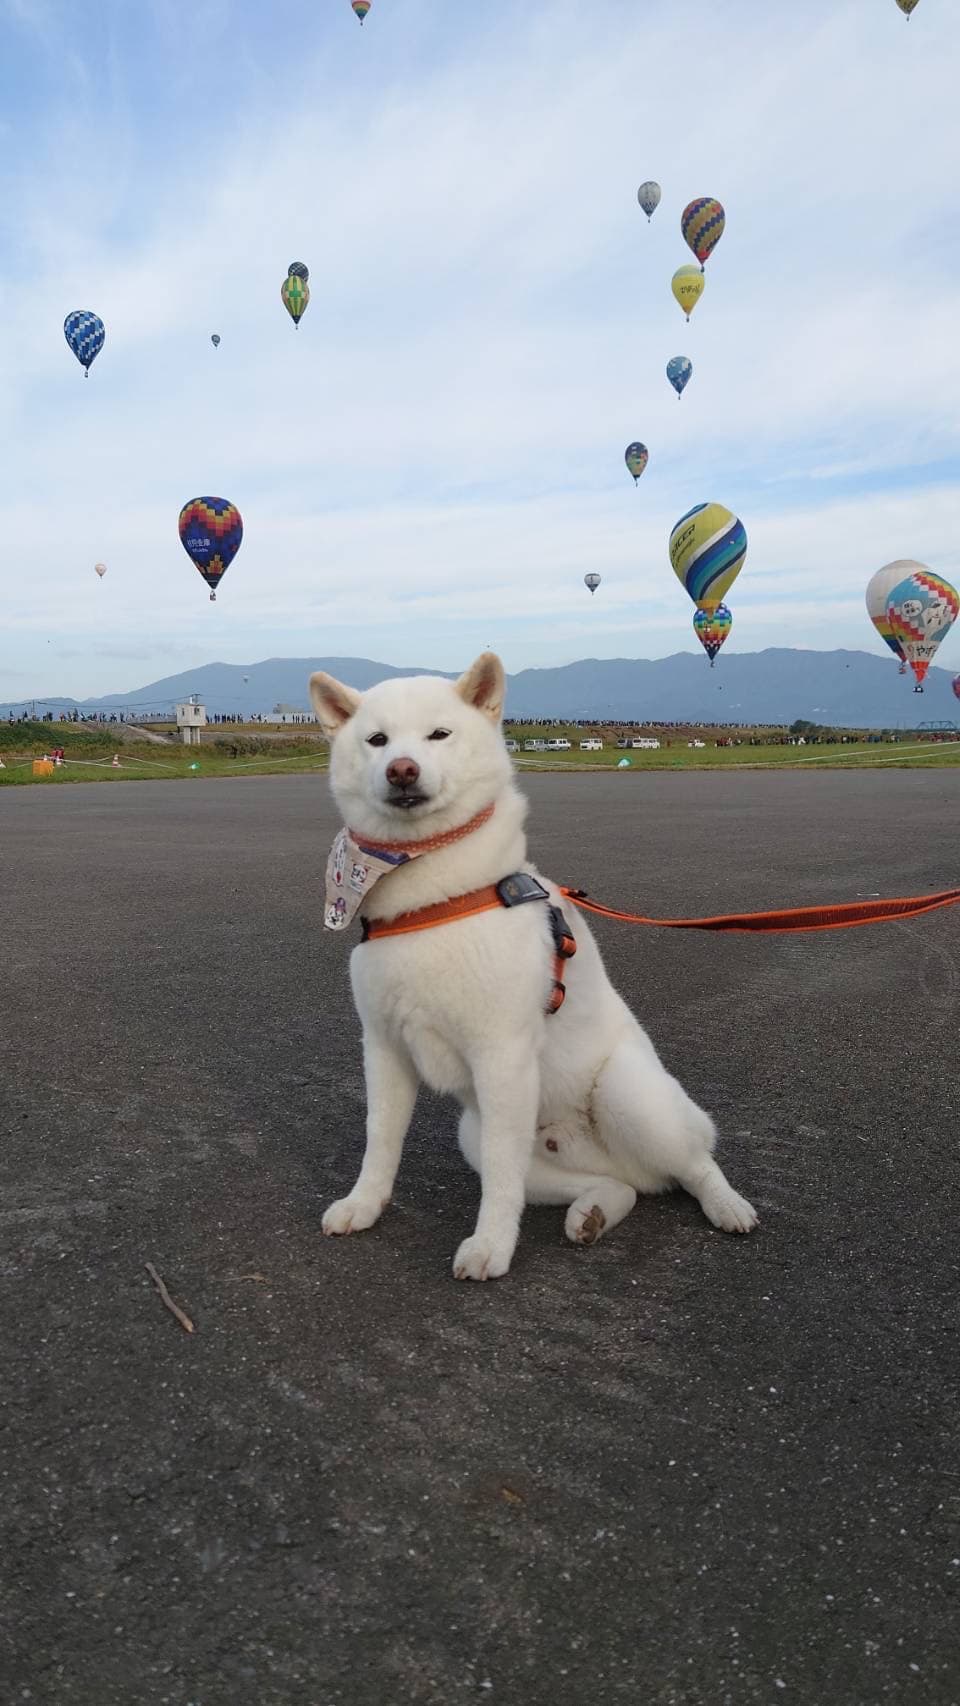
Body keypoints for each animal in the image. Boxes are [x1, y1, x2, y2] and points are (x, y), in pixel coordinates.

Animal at [310, 652, 757, 1280]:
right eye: (377, 740)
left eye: (439, 734)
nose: (401, 769)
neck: (433, 904)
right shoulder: (384, 1049)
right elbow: (381, 1141)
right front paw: (364, 1204)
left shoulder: (502, 1058)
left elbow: (500, 1183)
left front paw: (491, 1246)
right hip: (478, 1134)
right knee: (615, 1185)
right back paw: (595, 1212)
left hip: (631, 1099)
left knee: (693, 1165)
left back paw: (726, 1205)